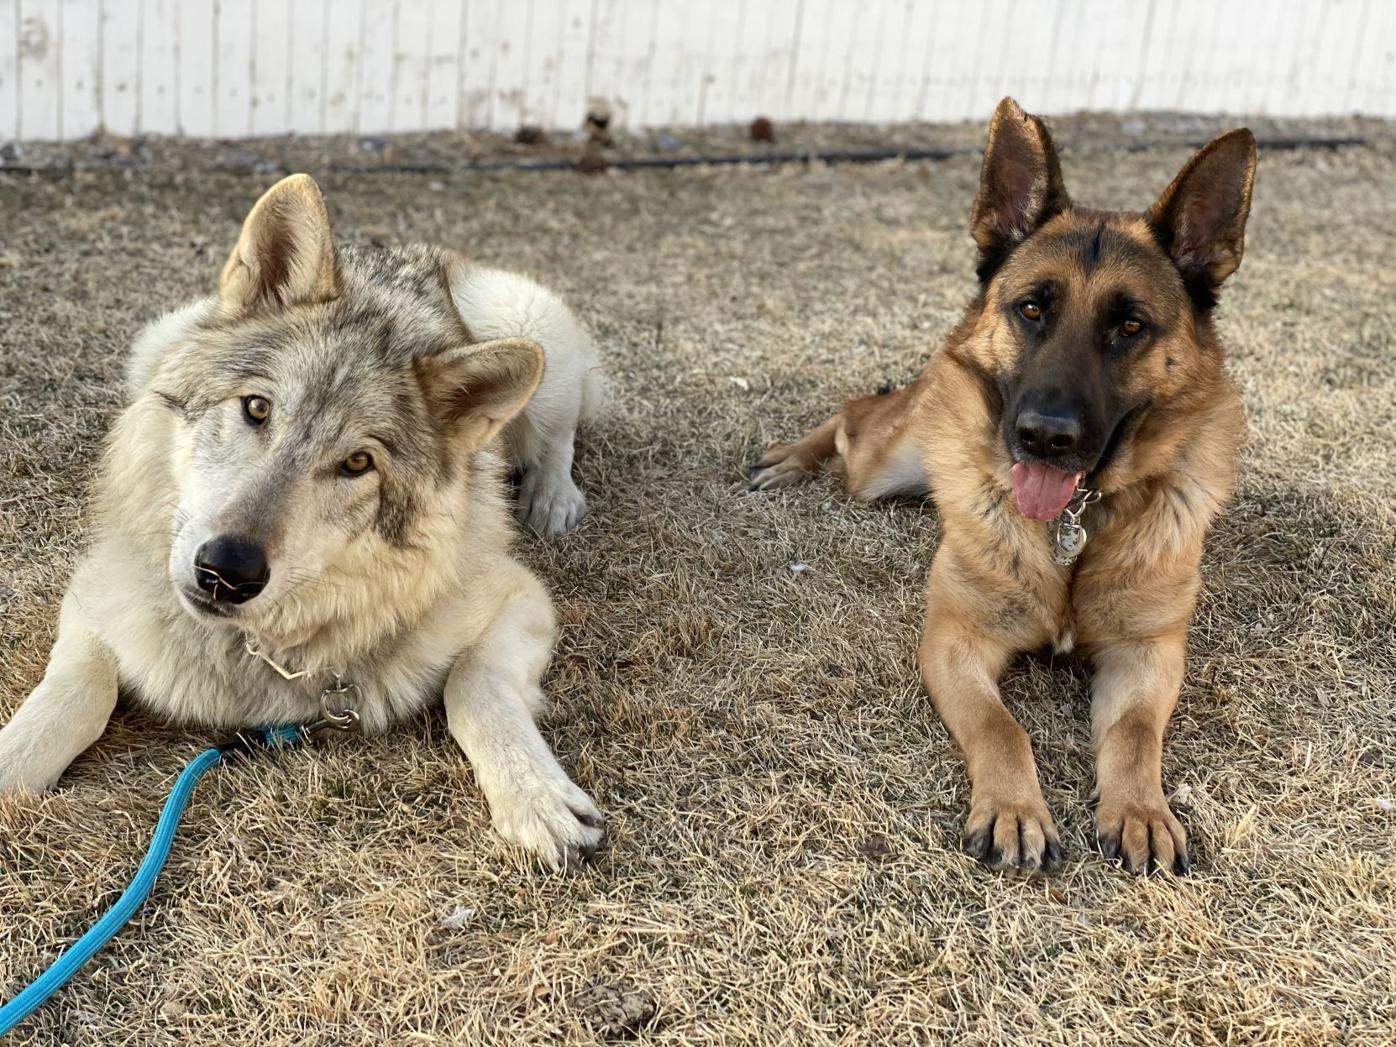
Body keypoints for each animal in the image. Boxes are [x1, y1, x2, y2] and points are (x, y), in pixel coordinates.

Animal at [1, 176, 611, 871]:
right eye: (257, 408)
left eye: (358, 463)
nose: (226, 572)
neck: (257, 648)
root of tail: (410, 252)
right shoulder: (92, 598)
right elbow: (77, 692)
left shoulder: (520, 597)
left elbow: (473, 685)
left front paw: (534, 797)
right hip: (156, 339)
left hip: (530, 329)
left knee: (559, 438)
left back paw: (552, 499)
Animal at [753, 98, 1256, 871]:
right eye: (1032, 309)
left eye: (1129, 326)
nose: (1045, 436)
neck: (1072, 529)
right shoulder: (954, 640)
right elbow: (1001, 727)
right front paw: (1015, 809)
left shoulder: (1148, 653)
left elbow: (1135, 731)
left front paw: (1142, 809)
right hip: (879, 468)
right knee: (855, 413)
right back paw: (791, 459)